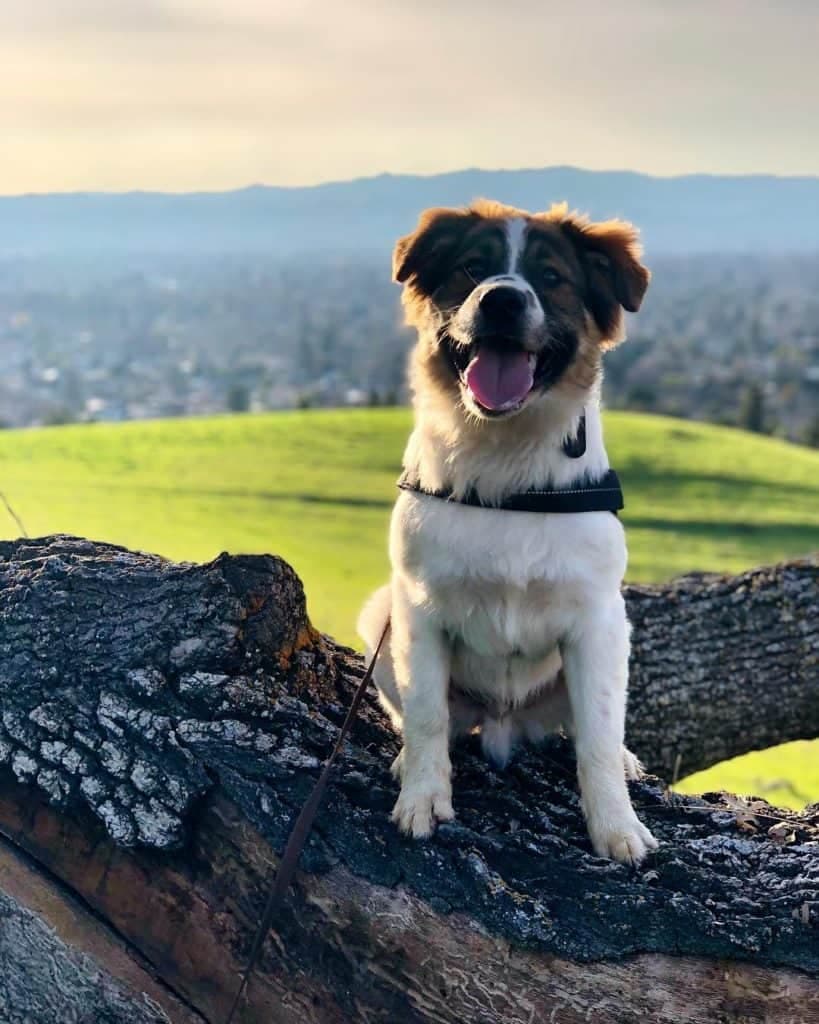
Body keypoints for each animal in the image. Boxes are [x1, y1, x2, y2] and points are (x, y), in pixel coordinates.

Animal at [358, 199, 659, 864]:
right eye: (473, 267)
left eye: (551, 277)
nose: (501, 300)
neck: (506, 462)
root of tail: (501, 722)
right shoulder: (417, 609)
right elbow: (425, 716)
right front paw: (423, 794)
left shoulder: (597, 620)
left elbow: (598, 734)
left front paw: (614, 822)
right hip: (381, 616)